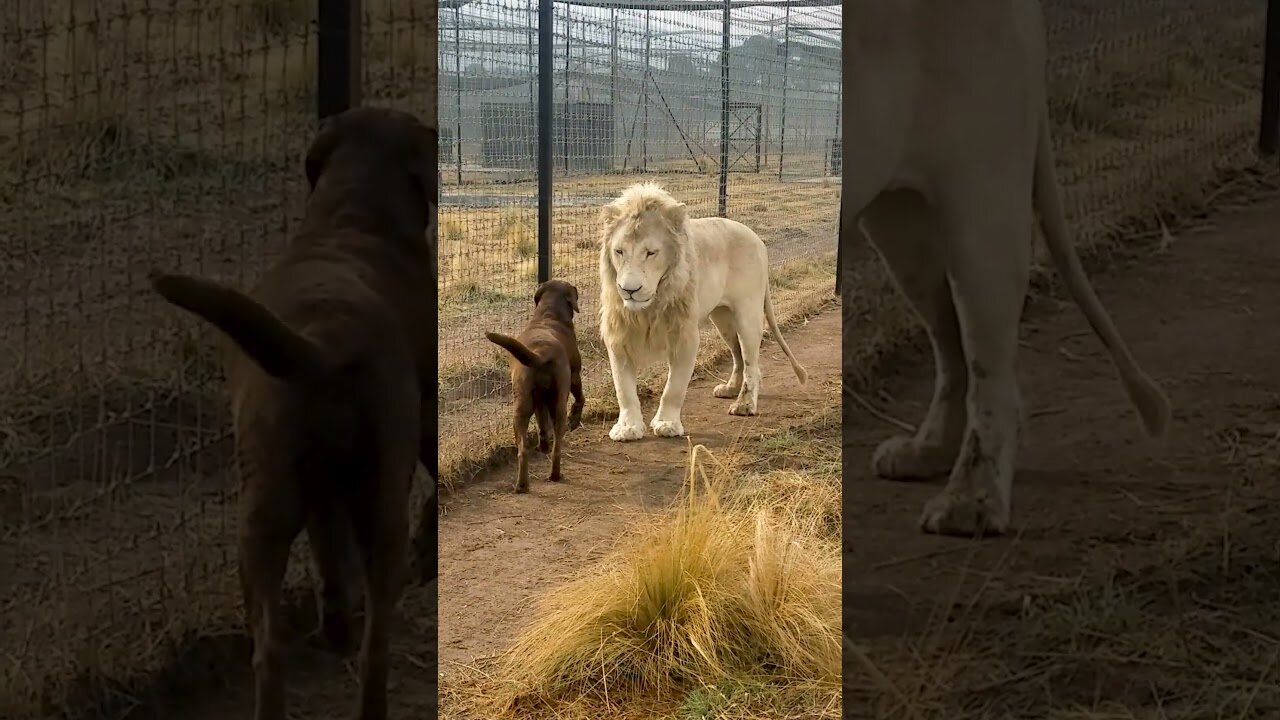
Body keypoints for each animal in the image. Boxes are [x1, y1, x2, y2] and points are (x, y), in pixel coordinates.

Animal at [147, 106, 437, 717]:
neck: (351, 214)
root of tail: (326, 335)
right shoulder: (424, 412)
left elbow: (329, 551)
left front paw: (335, 623)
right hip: (371, 491)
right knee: (373, 637)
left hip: (265, 507)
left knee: (275, 650)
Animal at [486, 278, 586, 489]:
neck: (549, 314)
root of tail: (540, 353)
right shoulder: (575, 375)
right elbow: (580, 398)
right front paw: (575, 420)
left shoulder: (540, 401)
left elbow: (541, 424)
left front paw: (543, 444)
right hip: (558, 402)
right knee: (558, 443)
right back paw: (554, 474)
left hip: (522, 406)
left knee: (523, 449)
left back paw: (522, 485)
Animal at [593, 180, 803, 438]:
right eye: (619, 251)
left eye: (651, 252)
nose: (629, 290)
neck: (650, 308)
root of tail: (756, 237)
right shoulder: (619, 337)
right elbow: (624, 389)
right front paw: (627, 427)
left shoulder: (684, 336)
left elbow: (674, 388)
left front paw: (667, 424)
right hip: (722, 319)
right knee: (737, 356)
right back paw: (730, 389)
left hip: (748, 315)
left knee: (751, 362)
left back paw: (744, 404)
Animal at [839, 0, 1172, 532]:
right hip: (899, 217)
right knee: (953, 347)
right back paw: (927, 452)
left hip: (982, 193)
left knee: (988, 365)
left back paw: (971, 503)